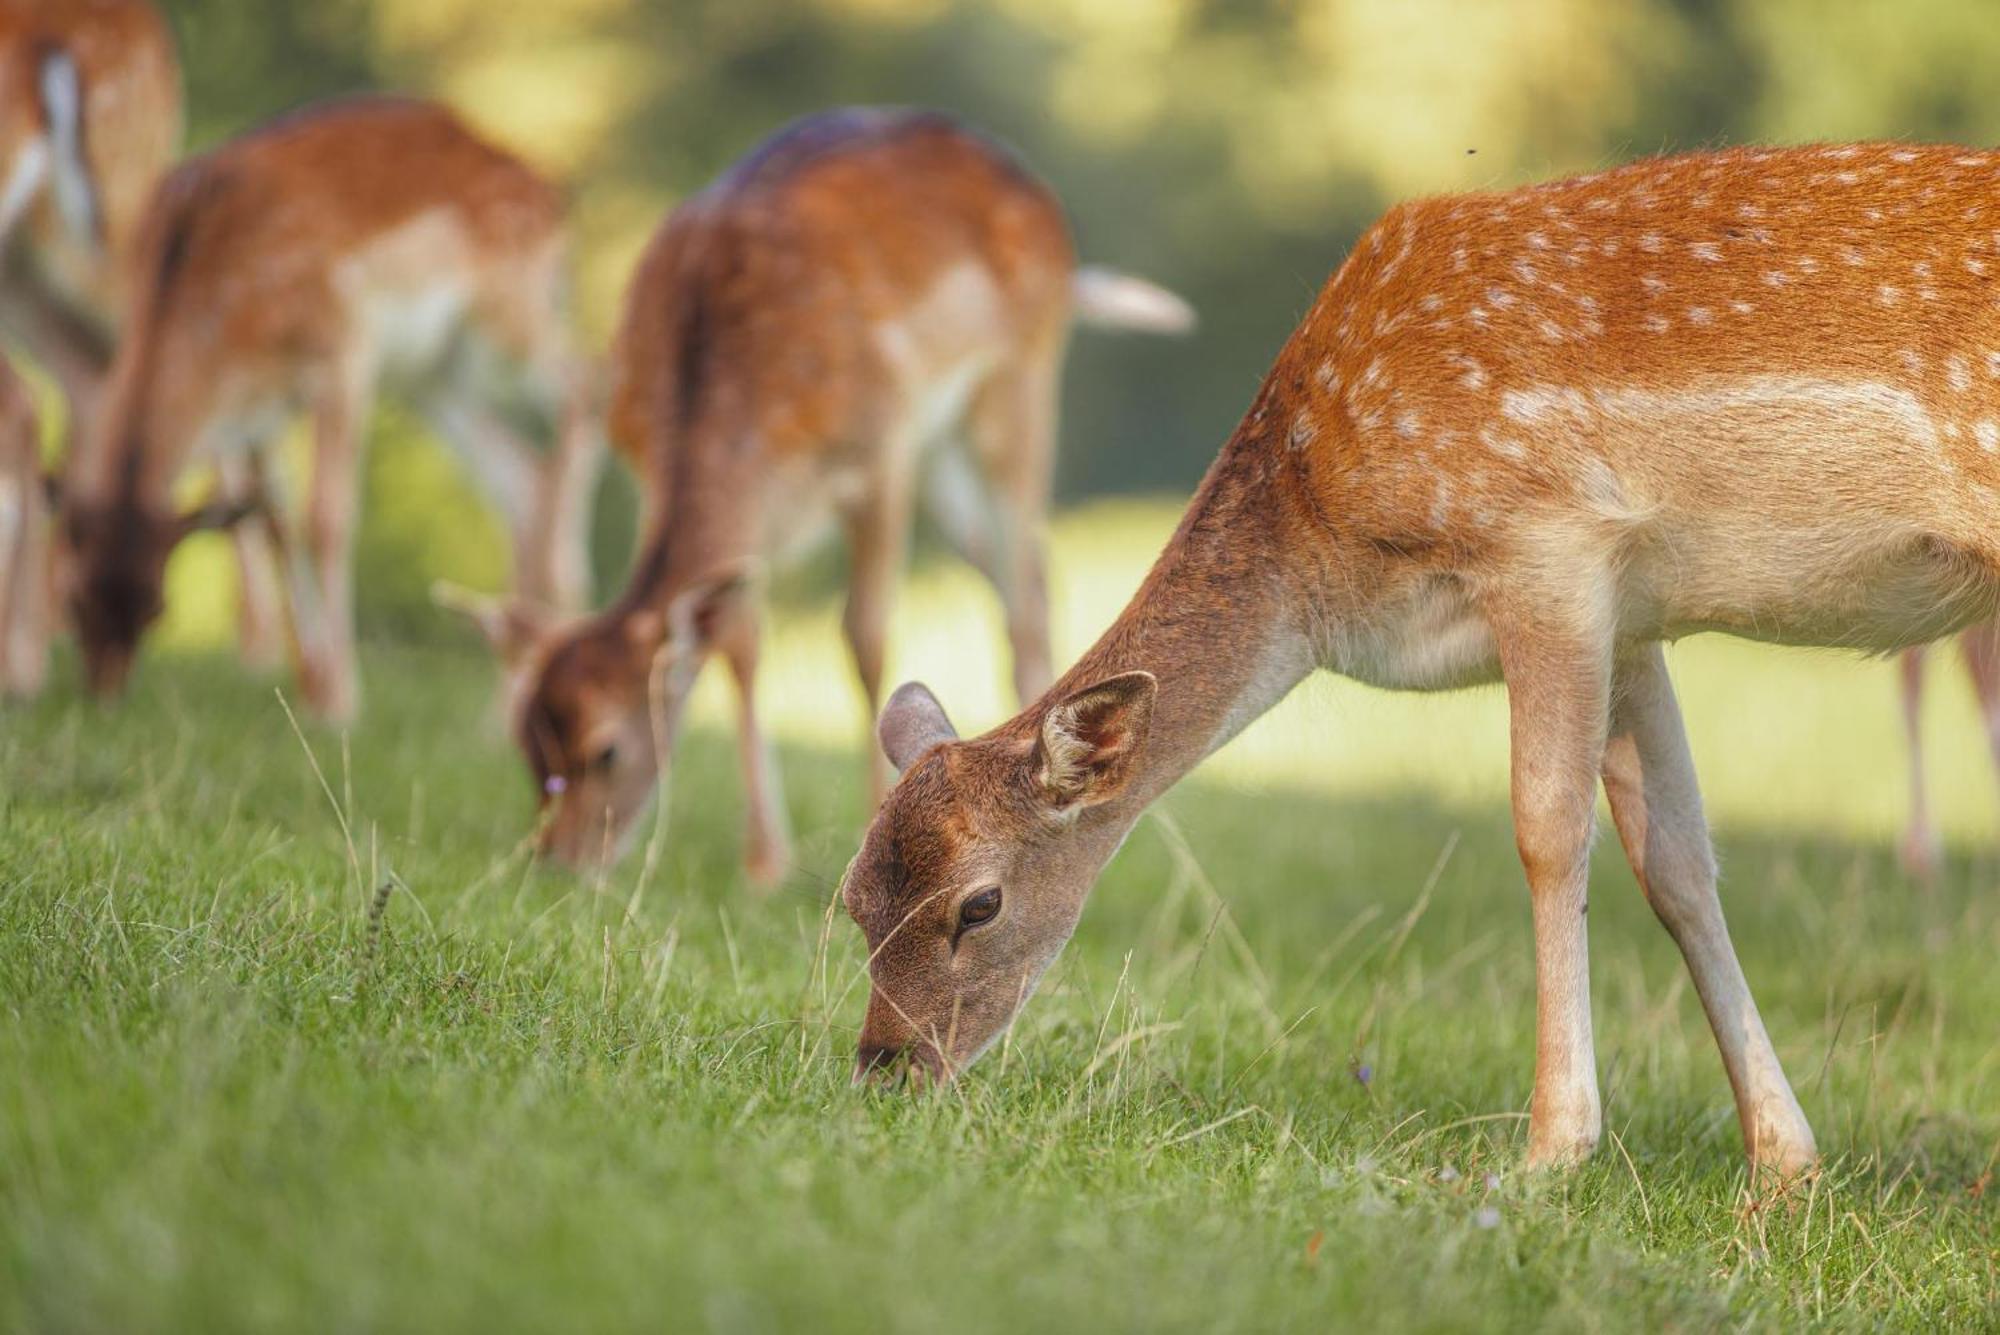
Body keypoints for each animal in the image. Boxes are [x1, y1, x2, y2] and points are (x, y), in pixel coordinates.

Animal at [62, 96, 600, 719]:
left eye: (158, 607)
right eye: (73, 598)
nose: (103, 696)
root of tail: (553, 195)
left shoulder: (342, 350)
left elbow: (325, 518)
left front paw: (341, 701)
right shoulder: (258, 412)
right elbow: (273, 521)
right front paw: (310, 687)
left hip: (508, 316)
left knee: (586, 385)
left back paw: (566, 595)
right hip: (436, 376)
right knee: (520, 478)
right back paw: (504, 703)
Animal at [454, 109, 1192, 879]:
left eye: (606, 750)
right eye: (526, 741)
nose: (558, 860)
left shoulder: (880, 452)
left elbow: (865, 636)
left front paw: (870, 827)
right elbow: (738, 637)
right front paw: (764, 862)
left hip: (1017, 387)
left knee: (1023, 588)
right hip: (947, 455)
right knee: (1029, 575)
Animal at [840, 140, 2000, 1175]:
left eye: (979, 904)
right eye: (852, 898)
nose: (884, 1068)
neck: (1328, 566)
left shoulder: (1549, 546)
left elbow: (1547, 828)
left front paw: (1549, 1153)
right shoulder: (1634, 621)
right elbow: (1673, 857)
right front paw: (1782, 1164)